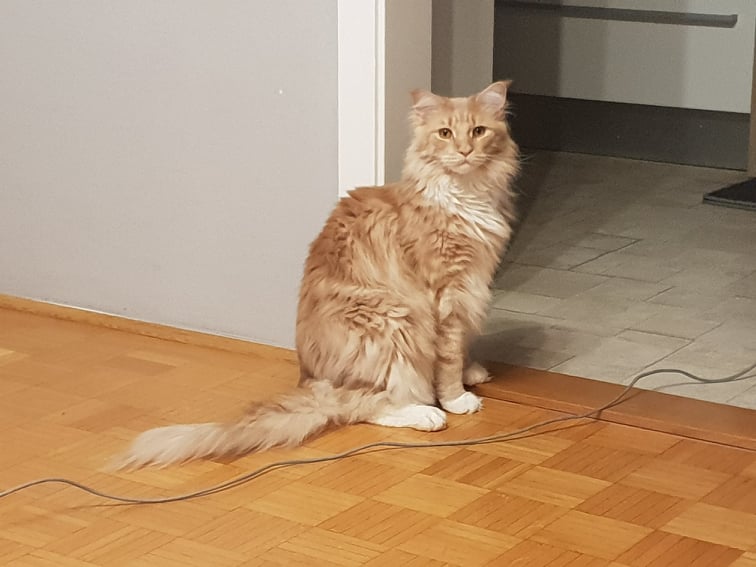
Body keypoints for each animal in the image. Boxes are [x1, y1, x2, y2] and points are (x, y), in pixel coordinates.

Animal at [114, 81, 519, 469]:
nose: (464, 152)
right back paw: (427, 414)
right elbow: (446, 358)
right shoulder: (447, 293)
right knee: (366, 405)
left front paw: (470, 371)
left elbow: (460, 346)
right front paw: (456, 397)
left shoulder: (469, 289)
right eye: (445, 133)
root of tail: (309, 378)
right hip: (392, 320)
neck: (465, 195)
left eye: (479, 131)